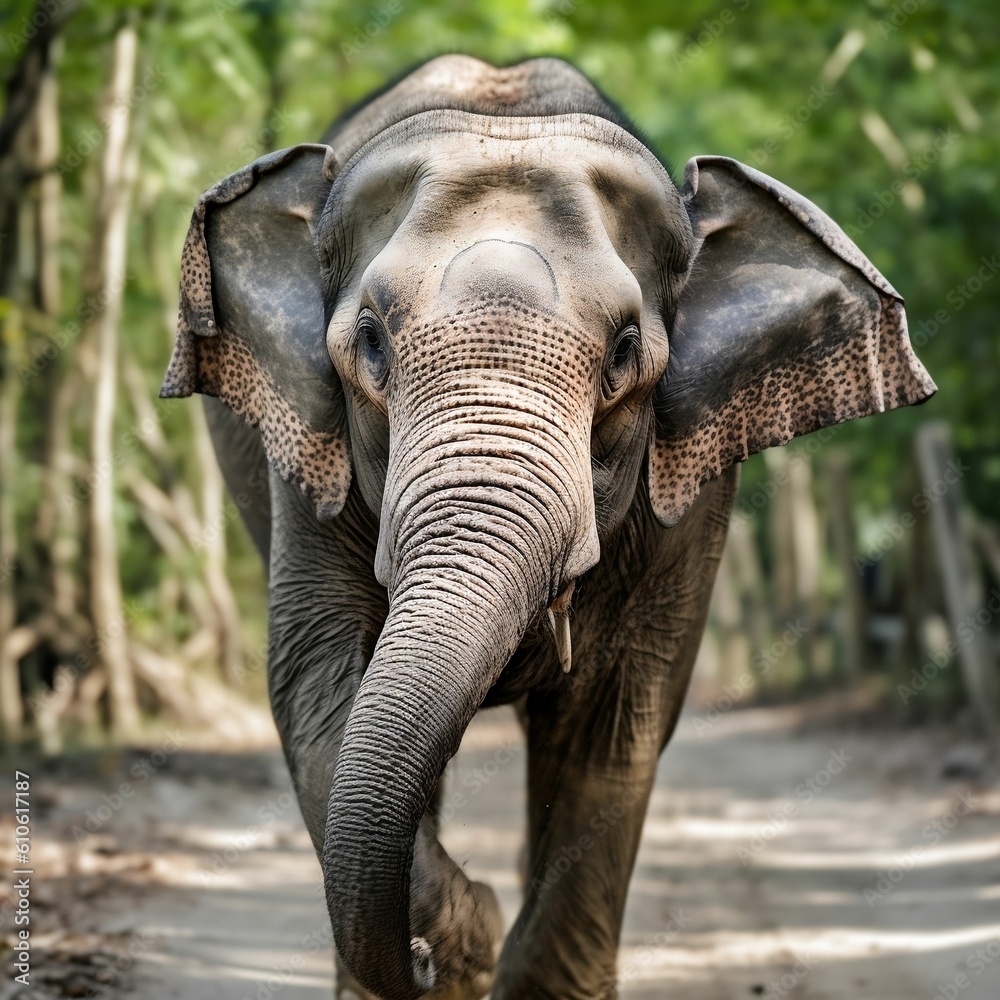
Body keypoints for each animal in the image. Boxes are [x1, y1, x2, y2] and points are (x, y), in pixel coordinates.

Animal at [160, 55, 935, 1000]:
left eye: (625, 351)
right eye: (370, 342)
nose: (418, 958)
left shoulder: (691, 492)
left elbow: (616, 722)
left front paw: (480, 950)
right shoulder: (309, 469)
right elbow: (316, 679)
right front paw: (459, 947)